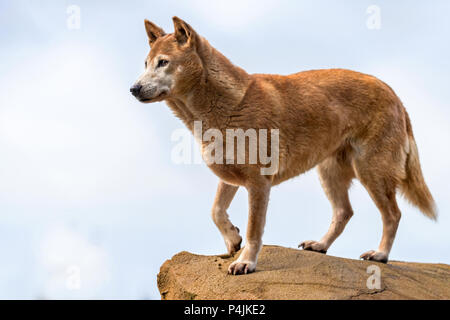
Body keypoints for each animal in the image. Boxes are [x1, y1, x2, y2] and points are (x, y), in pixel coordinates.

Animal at [129, 16, 436, 276]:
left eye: (163, 62)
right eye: (146, 63)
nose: (133, 89)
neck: (224, 107)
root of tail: (394, 94)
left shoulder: (258, 183)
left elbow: (254, 230)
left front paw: (246, 262)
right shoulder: (229, 176)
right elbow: (216, 211)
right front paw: (232, 240)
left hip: (370, 169)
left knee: (392, 214)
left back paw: (381, 254)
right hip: (329, 171)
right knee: (344, 212)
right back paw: (320, 245)